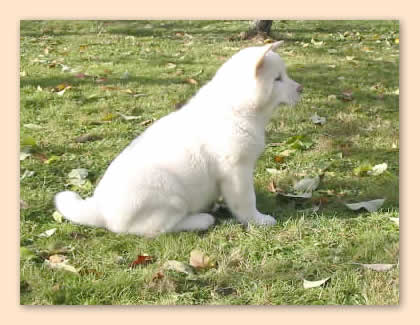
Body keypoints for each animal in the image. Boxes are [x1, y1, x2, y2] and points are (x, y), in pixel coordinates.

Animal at [55, 41, 302, 237]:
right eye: (277, 79)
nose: (301, 88)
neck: (236, 108)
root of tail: (99, 210)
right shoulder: (236, 170)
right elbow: (246, 200)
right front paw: (258, 220)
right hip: (169, 194)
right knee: (157, 229)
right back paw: (201, 219)